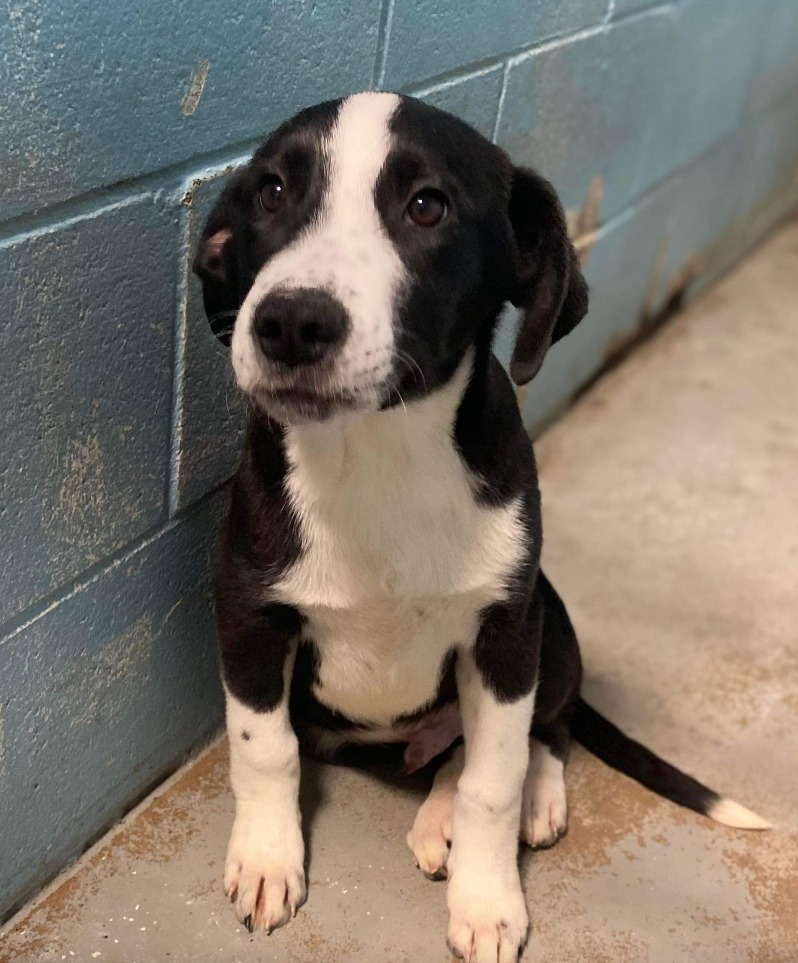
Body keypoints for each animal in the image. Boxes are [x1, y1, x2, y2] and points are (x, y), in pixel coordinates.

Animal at [192, 90, 768, 963]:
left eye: (427, 206)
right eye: (271, 193)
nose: (288, 323)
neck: (378, 452)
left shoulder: (506, 627)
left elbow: (492, 781)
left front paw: (489, 899)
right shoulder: (249, 610)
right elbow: (267, 748)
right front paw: (266, 858)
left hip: (548, 617)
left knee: (533, 731)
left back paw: (519, 801)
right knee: (449, 748)